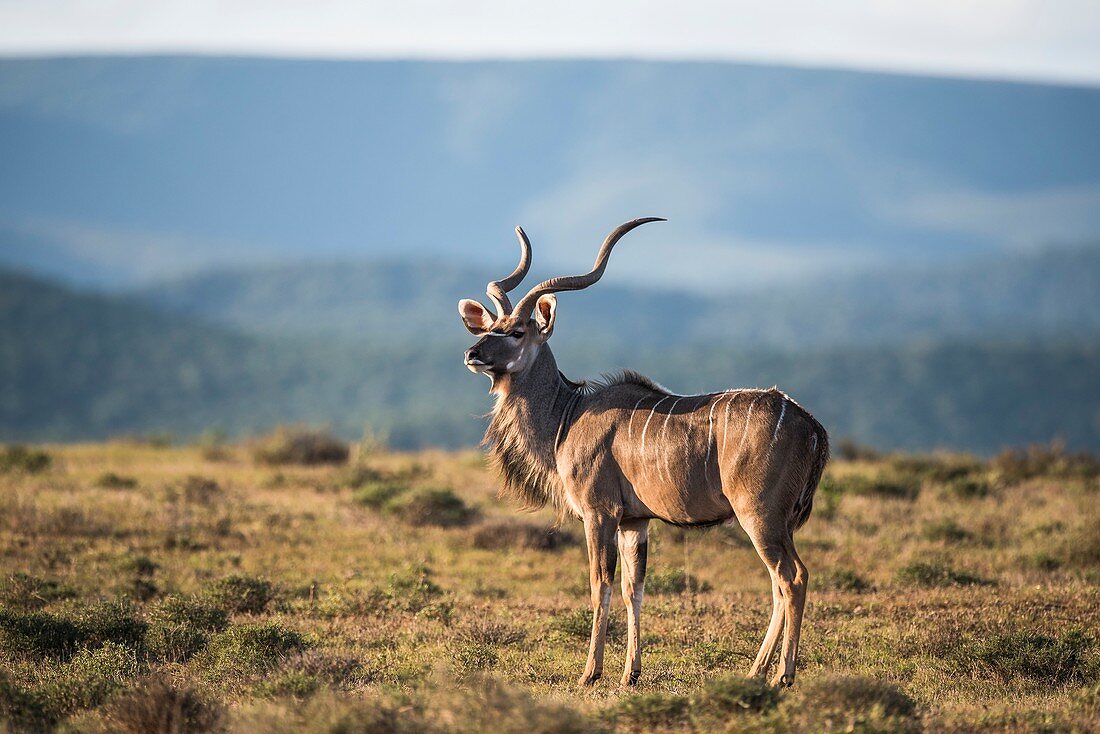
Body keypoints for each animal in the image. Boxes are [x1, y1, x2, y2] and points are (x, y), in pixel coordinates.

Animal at [455, 217, 827, 691]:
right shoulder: (635, 521)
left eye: (517, 332)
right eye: (489, 328)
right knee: (781, 582)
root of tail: (811, 426)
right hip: (780, 523)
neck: (567, 416)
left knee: (792, 577)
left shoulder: (600, 513)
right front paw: (630, 673)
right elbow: (635, 589)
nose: (472, 353)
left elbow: (601, 585)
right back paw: (755, 671)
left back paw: (782, 675)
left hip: (759, 516)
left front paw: (590, 673)